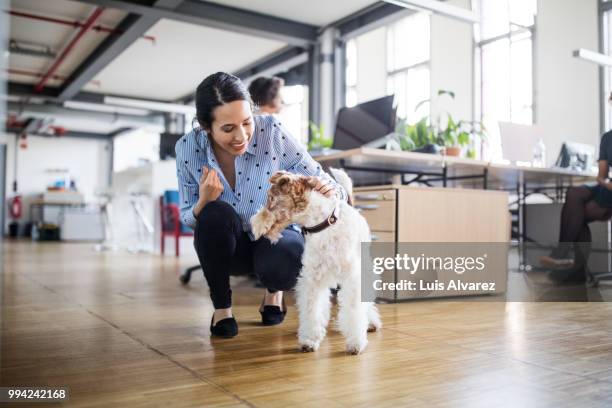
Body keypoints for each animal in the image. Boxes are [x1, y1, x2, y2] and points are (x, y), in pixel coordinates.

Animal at [251, 167, 380, 354]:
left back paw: (370, 323)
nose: (252, 223)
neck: (324, 224)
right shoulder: (313, 278)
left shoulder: (352, 278)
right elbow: (312, 308)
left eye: (272, 199)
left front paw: (355, 343)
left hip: (363, 269)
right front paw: (309, 340)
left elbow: (354, 309)